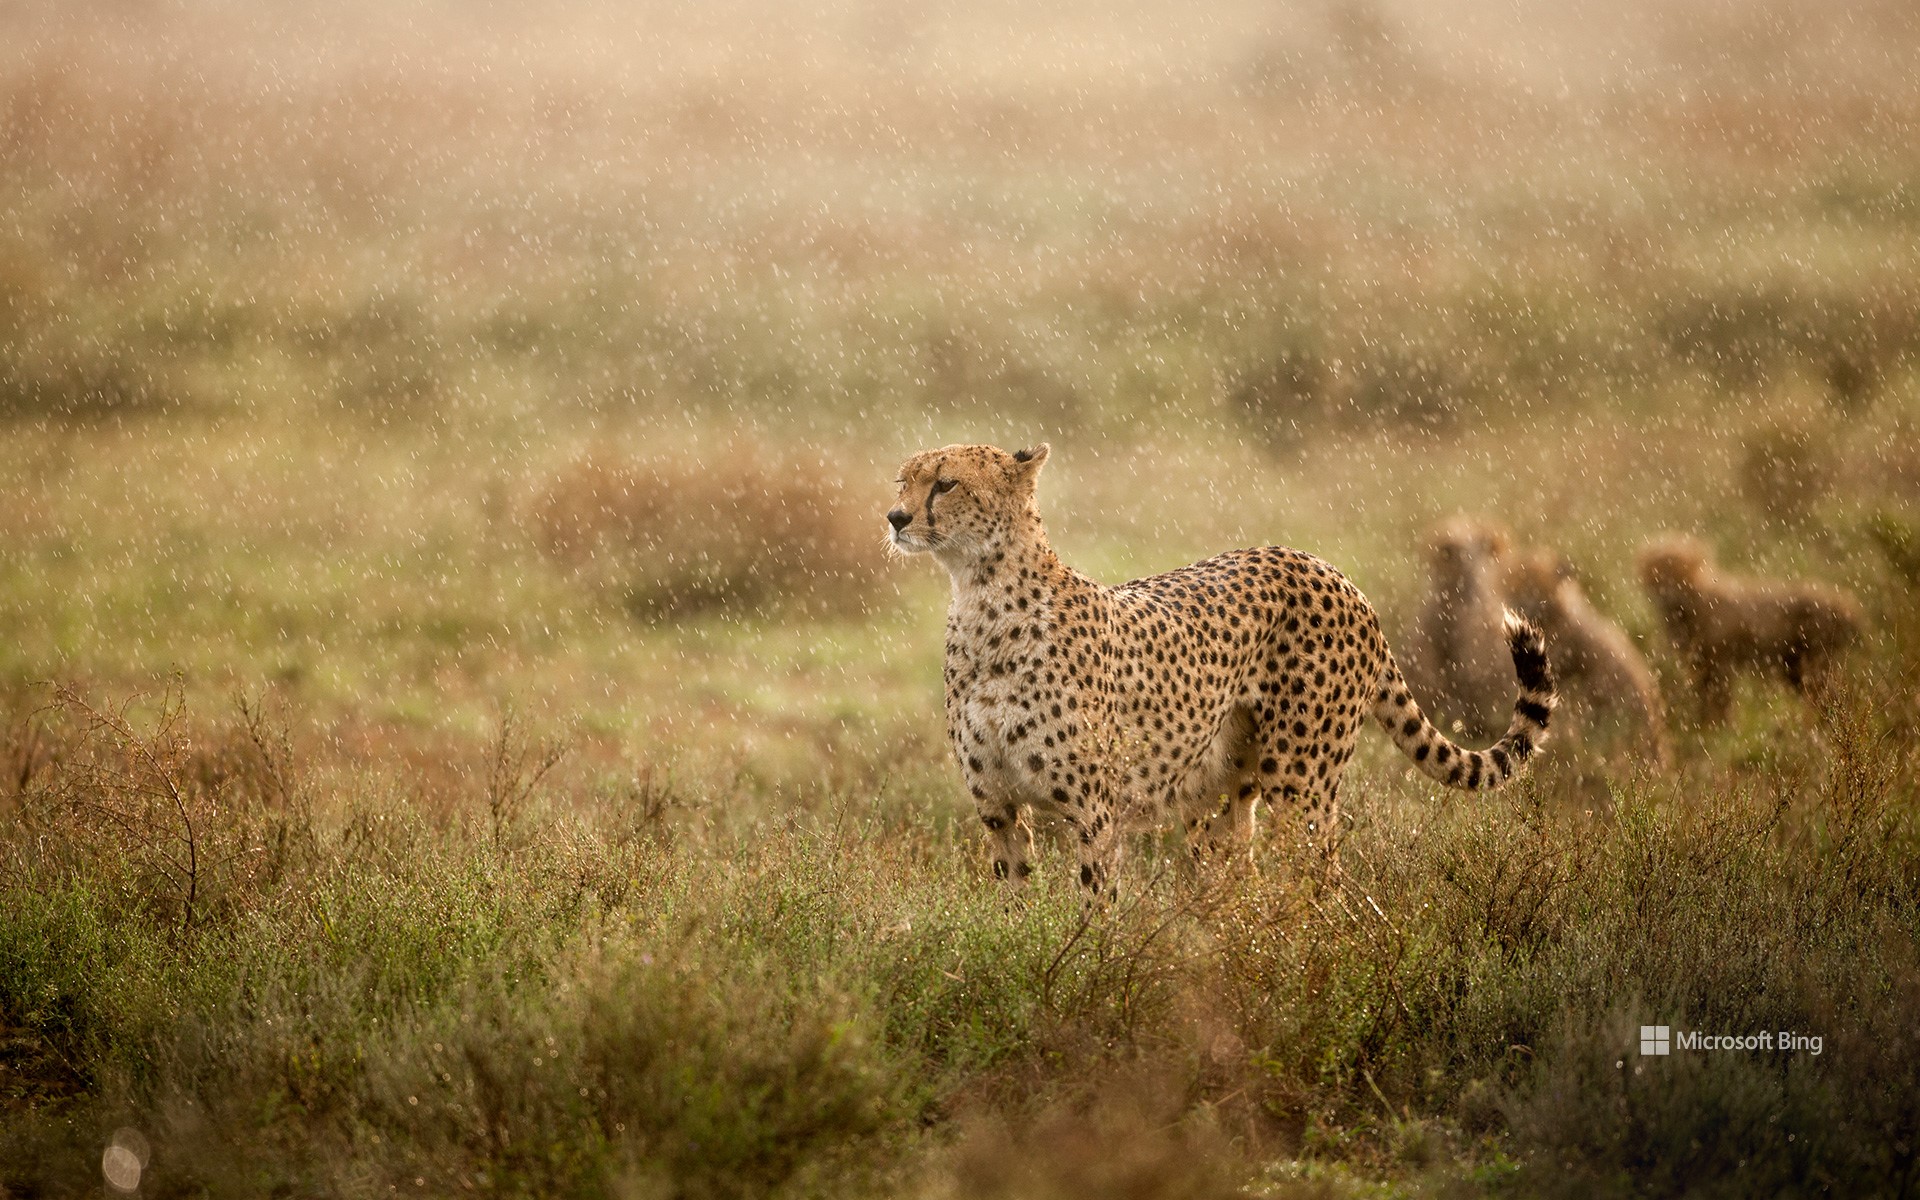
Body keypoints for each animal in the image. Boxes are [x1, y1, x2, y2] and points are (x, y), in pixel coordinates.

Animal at [887, 441, 1559, 890]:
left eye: (946, 484)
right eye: (902, 481)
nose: (895, 518)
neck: (981, 596)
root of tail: (1330, 569)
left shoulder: (1095, 814)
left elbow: (1095, 907)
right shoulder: (997, 809)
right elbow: (1015, 901)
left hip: (1301, 782)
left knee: (1323, 886)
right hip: (1216, 798)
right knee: (1240, 887)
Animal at [1635, 533, 1858, 721]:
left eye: (1682, 573)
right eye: (1656, 574)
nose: (1666, 595)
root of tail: (1846, 602)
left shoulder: (1721, 662)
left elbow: (1721, 702)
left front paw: (1722, 730)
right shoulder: (1700, 664)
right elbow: (1704, 701)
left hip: (1812, 665)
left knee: (1830, 698)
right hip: (1794, 667)